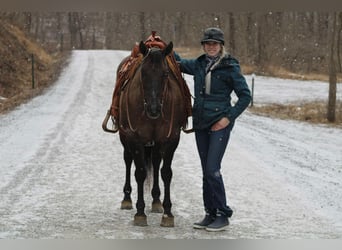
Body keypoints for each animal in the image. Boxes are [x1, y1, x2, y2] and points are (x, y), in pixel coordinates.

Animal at [115, 40, 187, 227]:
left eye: (165, 74)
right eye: (143, 73)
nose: (153, 109)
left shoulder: (170, 139)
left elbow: (166, 173)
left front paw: (168, 213)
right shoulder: (135, 139)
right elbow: (140, 172)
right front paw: (140, 212)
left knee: (155, 163)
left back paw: (156, 201)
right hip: (125, 138)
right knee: (128, 160)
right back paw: (127, 198)